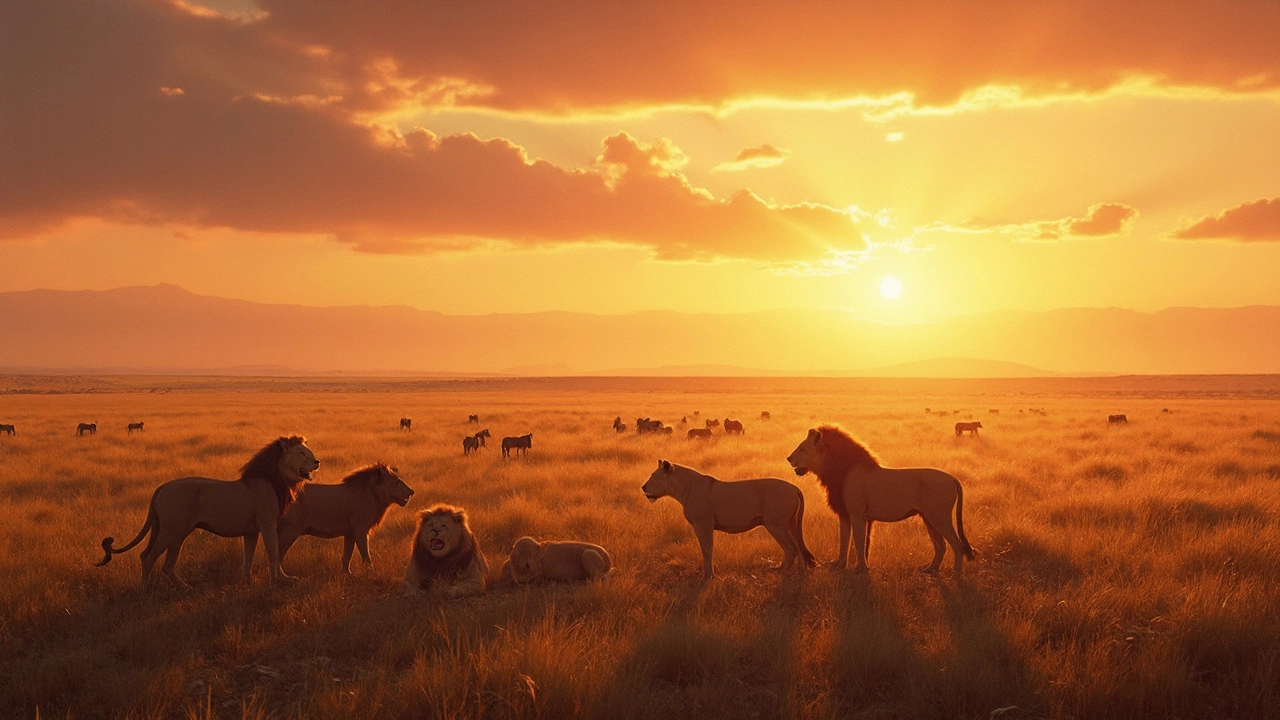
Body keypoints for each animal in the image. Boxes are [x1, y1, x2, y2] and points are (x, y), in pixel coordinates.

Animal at [95, 430, 320, 584]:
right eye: (302, 453)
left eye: (309, 452)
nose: (317, 461)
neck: (277, 481)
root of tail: (161, 487)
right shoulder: (267, 524)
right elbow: (274, 552)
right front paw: (280, 580)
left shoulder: (251, 531)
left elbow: (248, 557)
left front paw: (247, 581)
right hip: (171, 530)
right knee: (148, 558)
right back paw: (146, 590)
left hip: (177, 533)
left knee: (165, 564)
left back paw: (186, 588)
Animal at [276, 461, 412, 573]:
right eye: (396, 482)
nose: (412, 492)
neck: (374, 496)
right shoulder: (360, 529)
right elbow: (366, 555)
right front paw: (372, 574)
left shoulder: (350, 532)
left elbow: (347, 556)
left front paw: (347, 575)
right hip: (292, 529)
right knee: (277, 554)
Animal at [645, 458, 814, 576]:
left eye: (654, 476)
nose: (643, 487)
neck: (685, 488)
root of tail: (795, 487)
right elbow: (706, 549)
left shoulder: (703, 524)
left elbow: (706, 549)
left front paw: (708, 576)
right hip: (789, 525)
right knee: (797, 547)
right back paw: (799, 572)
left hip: (776, 525)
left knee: (790, 549)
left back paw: (781, 573)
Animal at [783, 425, 972, 571]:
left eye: (802, 449)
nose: (788, 458)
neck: (839, 471)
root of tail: (953, 479)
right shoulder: (845, 515)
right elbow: (844, 541)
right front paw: (839, 565)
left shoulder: (857, 514)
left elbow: (858, 541)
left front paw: (860, 568)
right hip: (929, 518)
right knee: (941, 546)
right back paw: (930, 569)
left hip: (940, 517)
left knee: (957, 545)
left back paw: (956, 573)